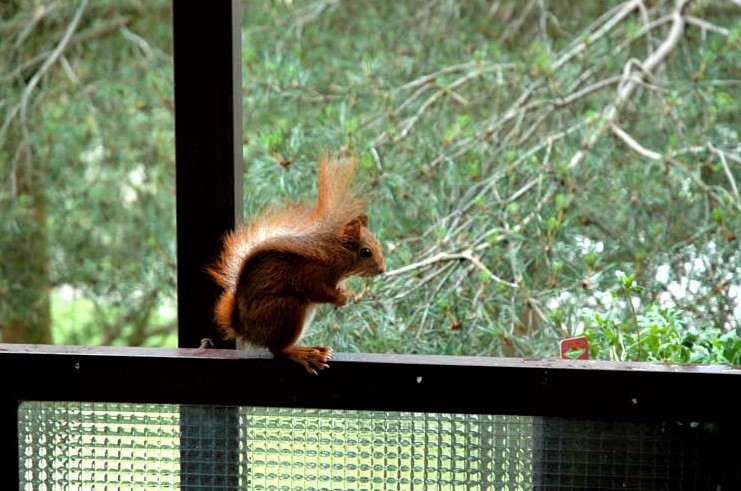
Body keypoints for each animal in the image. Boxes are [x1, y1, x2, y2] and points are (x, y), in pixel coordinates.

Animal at [207, 156, 384, 374]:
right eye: (366, 252)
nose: (382, 269)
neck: (334, 255)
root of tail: (245, 329)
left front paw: (344, 292)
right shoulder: (310, 272)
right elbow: (315, 290)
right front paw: (341, 298)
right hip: (286, 309)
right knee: (277, 349)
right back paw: (303, 353)